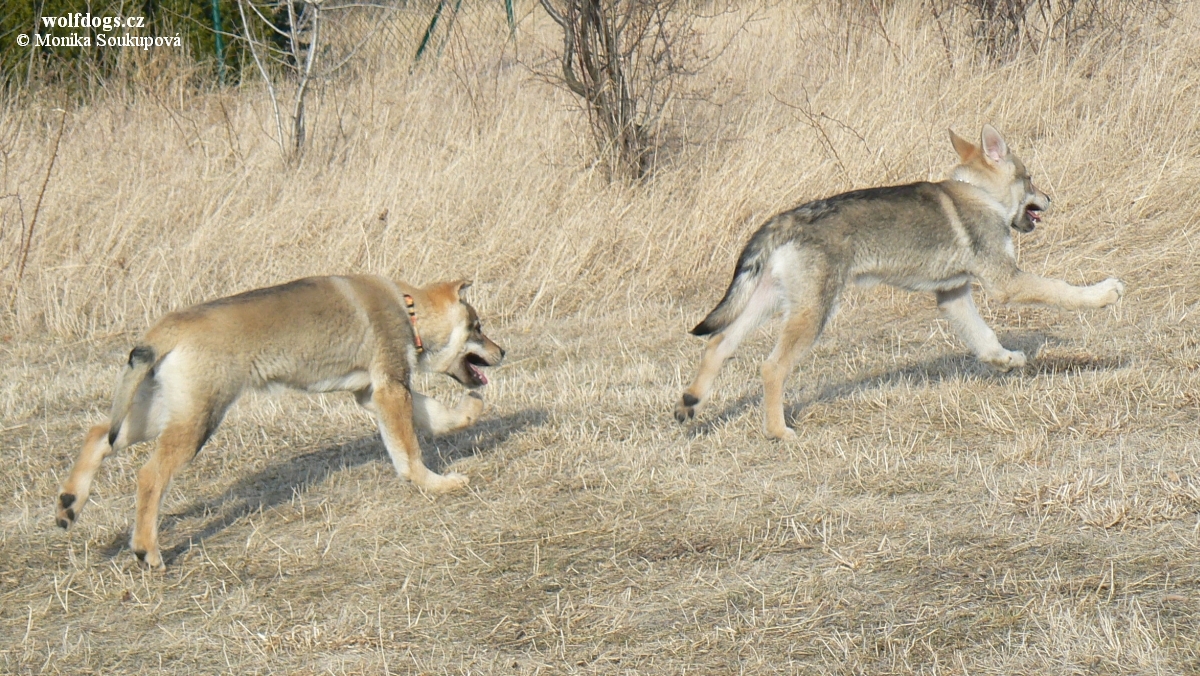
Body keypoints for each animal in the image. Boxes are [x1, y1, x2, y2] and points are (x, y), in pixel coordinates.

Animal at [56, 276, 504, 571]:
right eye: (478, 327)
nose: (503, 351)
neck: (407, 311)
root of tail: (168, 327)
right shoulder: (390, 391)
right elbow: (410, 452)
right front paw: (437, 484)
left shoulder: (373, 394)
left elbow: (435, 419)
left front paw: (469, 411)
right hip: (197, 423)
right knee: (149, 475)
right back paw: (147, 550)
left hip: (162, 414)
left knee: (97, 434)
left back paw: (69, 505)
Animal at [676, 123, 1123, 439]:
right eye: (1029, 179)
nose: (1048, 199)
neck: (979, 194)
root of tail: (783, 219)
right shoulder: (1005, 283)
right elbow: (1062, 290)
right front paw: (1104, 294)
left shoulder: (952, 295)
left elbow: (984, 339)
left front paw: (1006, 360)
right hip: (812, 314)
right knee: (770, 367)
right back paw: (778, 432)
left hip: (769, 304)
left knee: (717, 344)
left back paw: (690, 403)